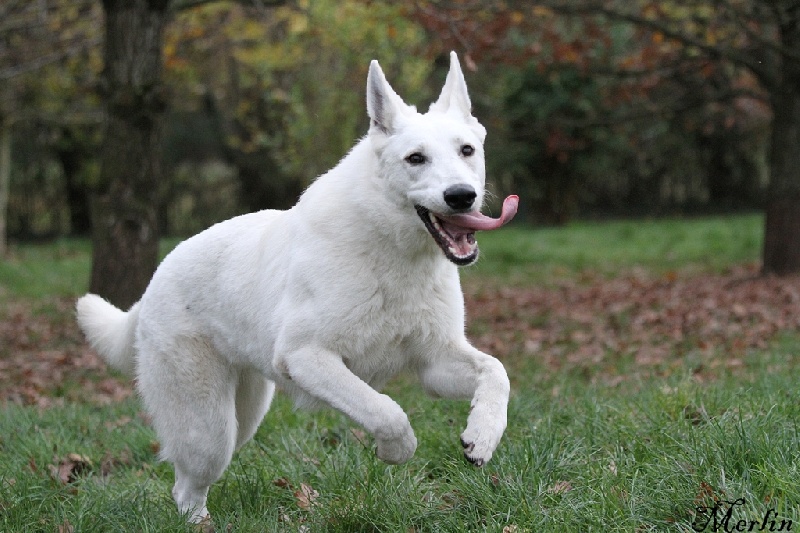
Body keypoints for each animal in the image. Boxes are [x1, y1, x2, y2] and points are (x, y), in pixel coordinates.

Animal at [78, 52, 520, 520]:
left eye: (466, 150)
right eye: (415, 158)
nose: (462, 196)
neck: (391, 254)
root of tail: (151, 286)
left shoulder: (434, 364)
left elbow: (497, 371)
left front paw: (483, 436)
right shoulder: (308, 356)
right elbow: (388, 412)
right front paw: (396, 451)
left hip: (245, 414)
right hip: (210, 432)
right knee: (186, 488)